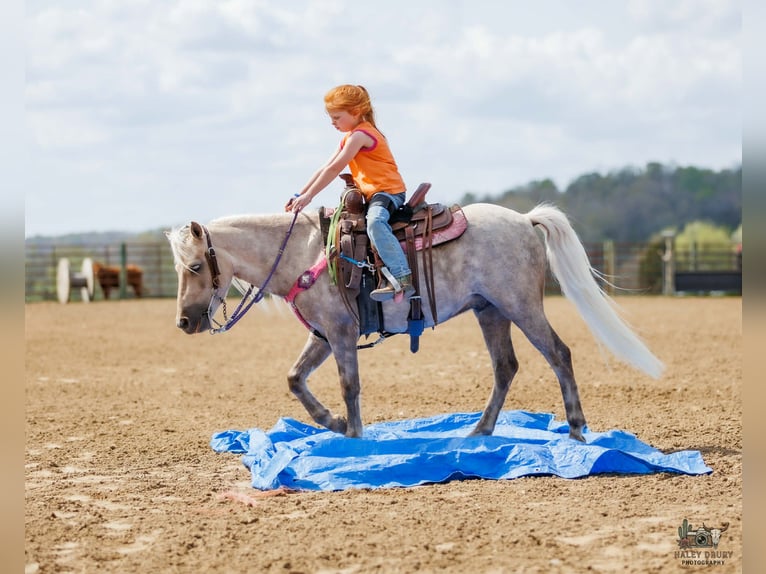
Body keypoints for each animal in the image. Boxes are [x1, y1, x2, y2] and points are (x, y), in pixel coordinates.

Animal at [167, 202, 663, 442]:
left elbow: (349, 385)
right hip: (490, 311)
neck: (303, 253)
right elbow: (294, 378)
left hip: (522, 306)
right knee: (505, 367)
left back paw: (576, 427)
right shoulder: (324, 335)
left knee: (558, 353)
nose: (184, 322)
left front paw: (353, 435)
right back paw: (479, 431)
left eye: (194, 267)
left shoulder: (341, 332)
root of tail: (525, 220)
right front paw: (330, 424)